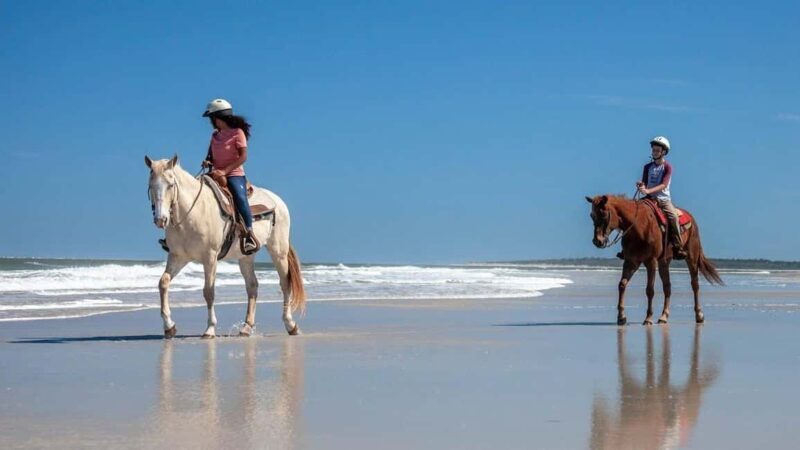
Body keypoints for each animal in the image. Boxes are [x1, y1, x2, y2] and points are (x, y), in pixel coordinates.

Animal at [145, 155, 306, 338]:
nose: (160, 219)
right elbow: (163, 282)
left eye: (170, 185)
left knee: (285, 283)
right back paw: (246, 327)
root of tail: (278, 201)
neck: (192, 213)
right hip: (246, 256)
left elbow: (209, 291)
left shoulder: (210, 257)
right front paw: (169, 326)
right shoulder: (178, 257)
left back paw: (291, 325)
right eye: (151, 186)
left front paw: (210, 329)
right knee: (252, 286)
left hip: (278, 251)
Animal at [585, 195, 723, 325]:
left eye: (603, 214)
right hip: (664, 262)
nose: (597, 241)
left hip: (692, 258)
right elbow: (622, 285)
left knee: (695, 285)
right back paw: (663, 317)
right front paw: (621, 318)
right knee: (667, 286)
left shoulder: (651, 261)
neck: (638, 225)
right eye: (592, 216)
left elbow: (649, 290)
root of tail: (692, 219)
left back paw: (699, 315)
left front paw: (648, 318)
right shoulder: (631, 261)